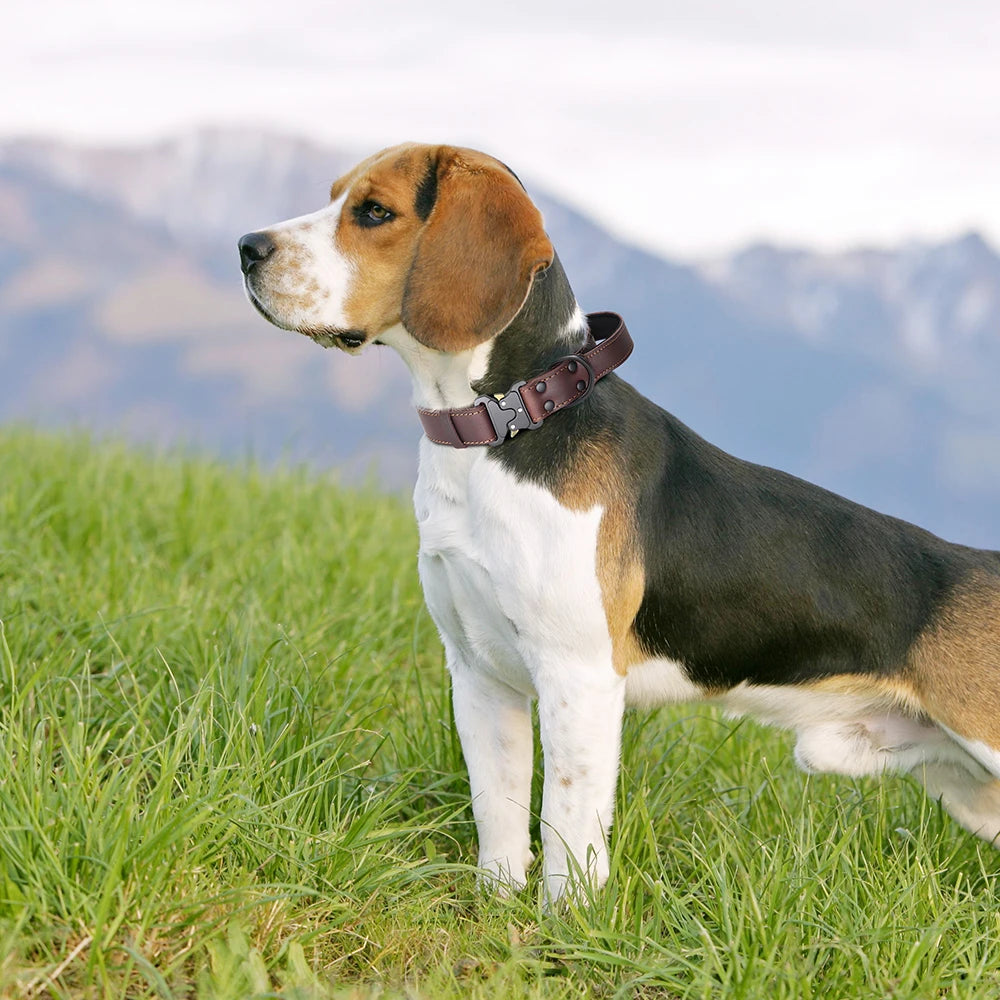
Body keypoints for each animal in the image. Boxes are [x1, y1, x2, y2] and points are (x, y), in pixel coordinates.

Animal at [240, 145, 1000, 904]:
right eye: (334, 195)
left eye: (374, 211)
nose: (246, 247)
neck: (506, 424)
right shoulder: (480, 673)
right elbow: (499, 807)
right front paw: (496, 902)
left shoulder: (578, 677)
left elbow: (566, 815)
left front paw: (566, 918)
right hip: (969, 789)